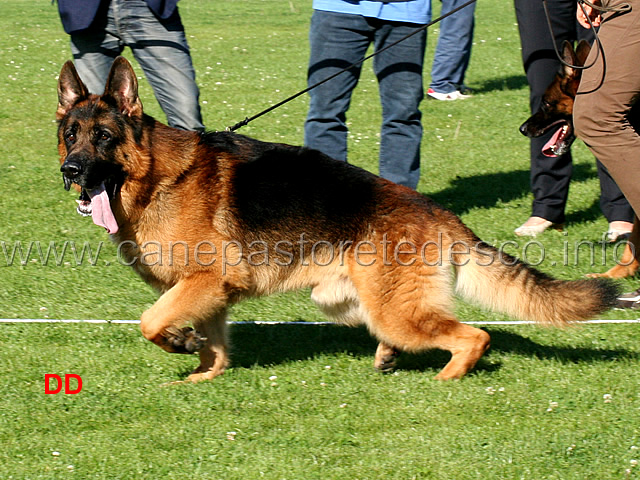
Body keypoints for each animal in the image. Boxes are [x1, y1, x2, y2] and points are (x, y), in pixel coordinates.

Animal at [57, 57, 616, 382]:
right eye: (70, 135)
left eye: (104, 137)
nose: (71, 172)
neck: (158, 177)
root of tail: (441, 214)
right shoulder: (211, 290)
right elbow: (211, 340)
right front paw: (205, 371)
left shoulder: (205, 279)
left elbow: (152, 321)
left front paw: (179, 343)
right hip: (348, 301)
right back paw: (390, 358)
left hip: (392, 309)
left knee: (473, 336)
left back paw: (447, 379)